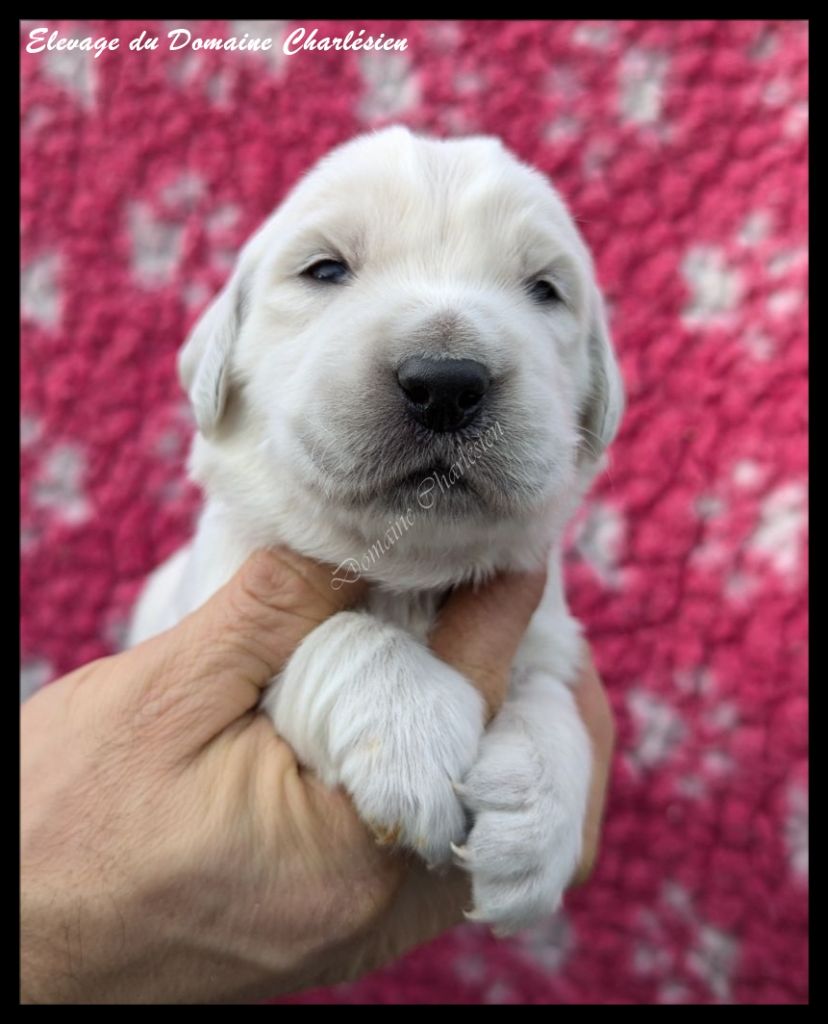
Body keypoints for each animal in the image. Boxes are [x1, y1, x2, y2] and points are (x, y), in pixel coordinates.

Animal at [127, 123, 622, 933]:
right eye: (325, 270)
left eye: (545, 289)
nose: (447, 382)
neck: (406, 571)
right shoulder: (219, 603)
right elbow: (340, 635)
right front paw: (415, 733)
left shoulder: (548, 630)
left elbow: (552, 699)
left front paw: (536, 822)